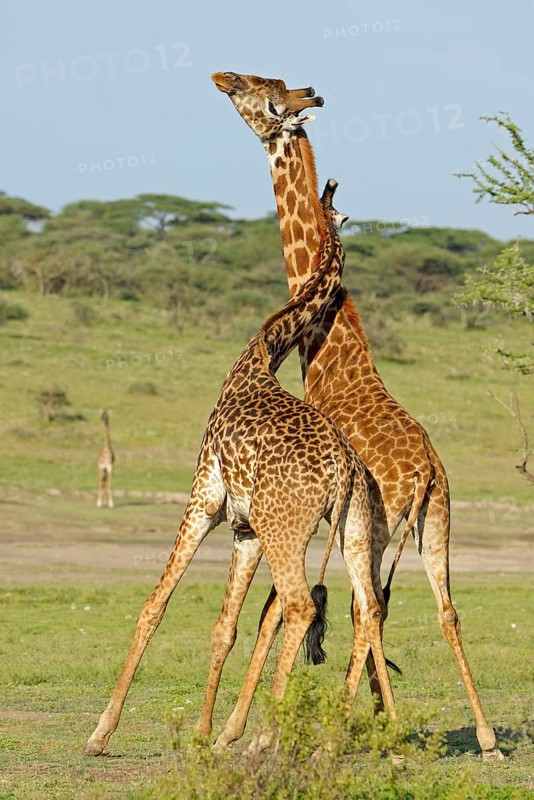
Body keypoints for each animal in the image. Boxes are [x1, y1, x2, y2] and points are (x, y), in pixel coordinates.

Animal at [84, 180, 395, 757]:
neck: (263, 351)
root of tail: (343, 470)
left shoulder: (204, 498)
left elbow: (154, 605)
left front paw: (100, 733)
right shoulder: (245, 528)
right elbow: (224, 626)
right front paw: (204, 733)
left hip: (286, 526)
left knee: (301, 606)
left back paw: (266, 738)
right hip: (354, 527)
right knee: (367, 607)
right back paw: (375, 728)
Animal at [211, 71, 503, 760]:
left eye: (255, 90)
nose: (220, 78)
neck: (327, 355)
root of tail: (423, 473)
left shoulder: (307, 510)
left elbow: (278, 608)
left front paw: (241, 729)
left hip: (373, 526)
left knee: (363, 609)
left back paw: (345, 729)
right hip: (436, 522)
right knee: (438, 610)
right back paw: (479, 737)